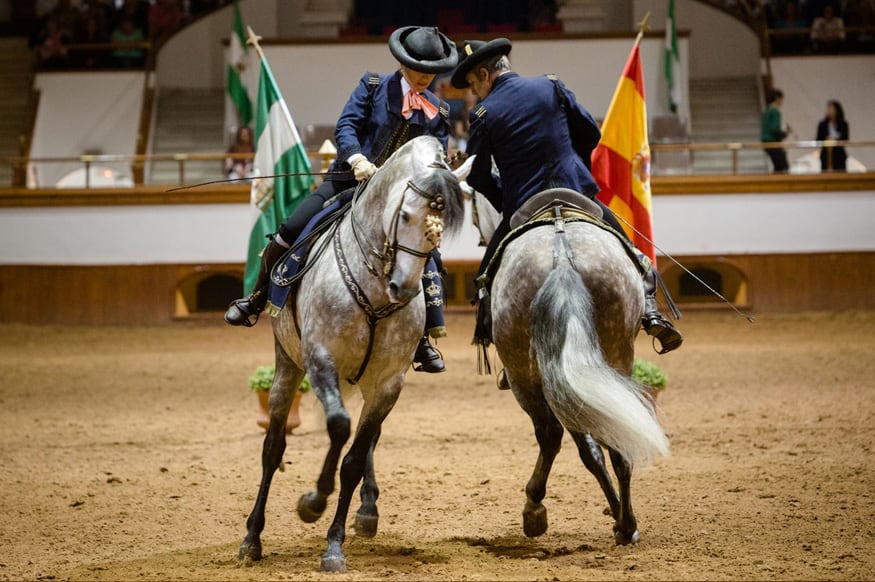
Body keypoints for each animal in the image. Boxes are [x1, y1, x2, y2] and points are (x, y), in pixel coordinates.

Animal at [240, 137, 468, 576]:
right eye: (406, 214)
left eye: (439, 230)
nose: (403, 288)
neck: (374, 287)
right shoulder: (320, 361)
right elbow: (338, 428)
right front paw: (312, 503)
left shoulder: (389, 383)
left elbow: (354, 457)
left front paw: (333, 543)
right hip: (287, 366)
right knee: (273, 448)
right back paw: (251, 539)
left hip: (366, 382)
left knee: (367, 440)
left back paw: (367, 511)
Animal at [472, 188, 672, 548]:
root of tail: (562, 257)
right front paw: (617, 515)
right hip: (612, 357)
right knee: (614, 438)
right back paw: (627, 525)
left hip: (525, 374)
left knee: (552, 435)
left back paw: (536, 510)